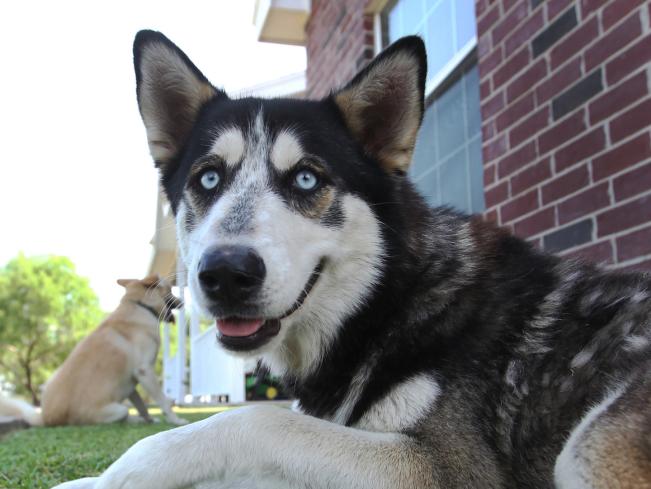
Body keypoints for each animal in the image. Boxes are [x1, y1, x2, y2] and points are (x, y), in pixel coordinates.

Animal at [41, 272, 186, 426]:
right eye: (171, 289)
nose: (183, 302)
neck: (140, 306)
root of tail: (47, 418)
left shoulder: (131, 382)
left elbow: (142, 406)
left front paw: (150, 420)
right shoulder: (144, 371)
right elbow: (163, 401)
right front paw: (176, 420)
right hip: (118, 410)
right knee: (124, 415)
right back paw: (136, 420)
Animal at [57, 32, 651, 486]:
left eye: (306, 179)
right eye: (208, 178)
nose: (224, 274)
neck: (385, 303)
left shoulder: (442, 465)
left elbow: (253, 420)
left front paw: (112, 477)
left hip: (588, 446)